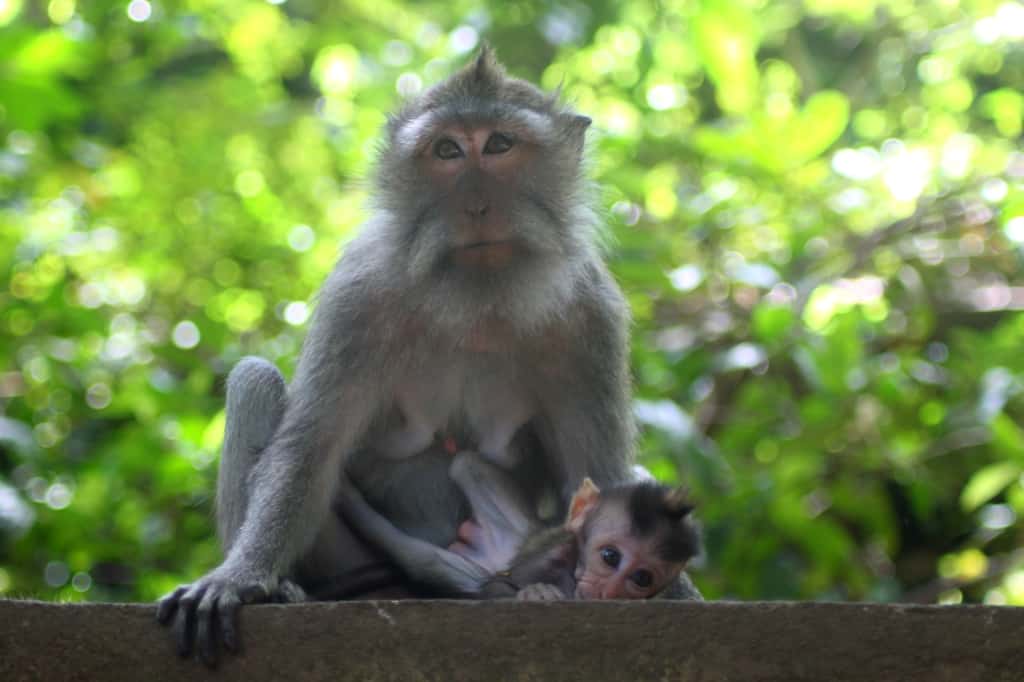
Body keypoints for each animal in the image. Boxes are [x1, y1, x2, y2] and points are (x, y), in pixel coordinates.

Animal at [333, 454, 696, 598]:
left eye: (642, 578)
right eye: (610, 557)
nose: (609, 592)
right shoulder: (552, 557)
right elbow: (498, 588)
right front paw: (536, 593)